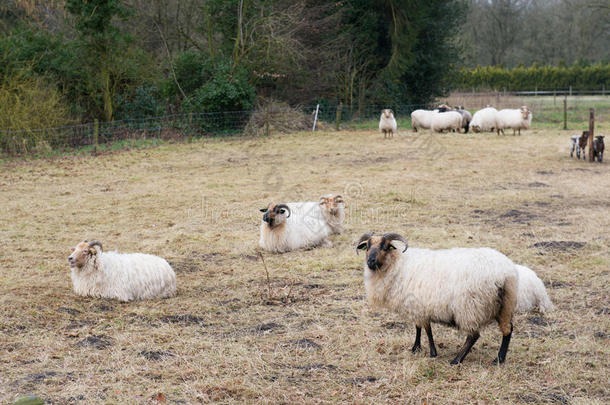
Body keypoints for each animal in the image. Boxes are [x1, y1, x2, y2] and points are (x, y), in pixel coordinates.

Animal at [356, 232, 516, 364]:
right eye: (367, 246)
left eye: (385, 246)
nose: (370, 262)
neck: (398, 263)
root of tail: (506, 272)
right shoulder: (417, 305)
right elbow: (418, 327)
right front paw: (416, 348)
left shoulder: (421, 305)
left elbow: (427, 329)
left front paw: (432, 352)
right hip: (504, 304)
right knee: (508, 330)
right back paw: (499, 359)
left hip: (470, 307)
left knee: (474, 335)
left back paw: (456, 360)